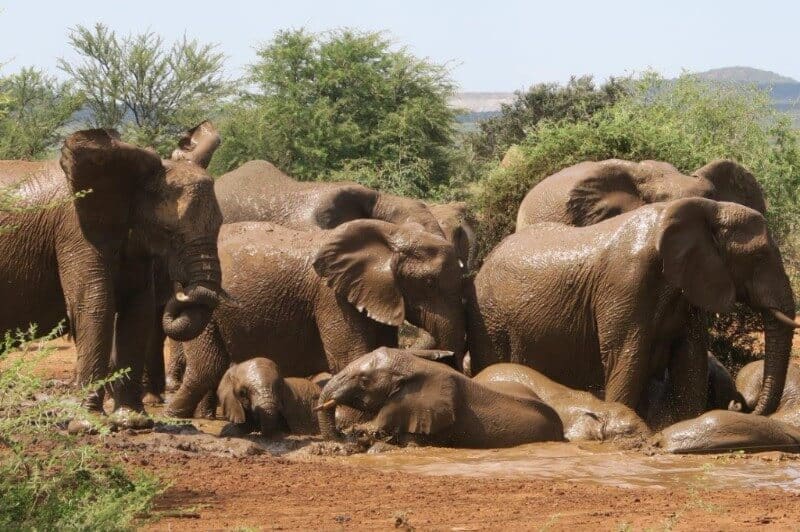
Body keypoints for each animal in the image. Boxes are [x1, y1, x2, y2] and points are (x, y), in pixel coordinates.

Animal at [0, 127, 223, 422]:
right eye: (168, 232)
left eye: (220, 224)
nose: (181, 291)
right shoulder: (75, 230)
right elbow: (96, 304)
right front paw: (88, 423)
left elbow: (138, 310)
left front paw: (133, 421)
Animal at [167, 219, 466, 418]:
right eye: (429, 284)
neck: (391, 233)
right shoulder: (331, 296)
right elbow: (350, 357)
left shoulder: (372, 293)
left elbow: (379, 351)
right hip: (206, 307)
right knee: (208, 365)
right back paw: (175, 415)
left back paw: (203, 417)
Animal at [468, 197, 798, 423]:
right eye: (758, 257)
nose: (741, 406)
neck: (704, 209)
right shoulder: (627, 282)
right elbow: (628, 360)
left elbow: (690, 362)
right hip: (488, 316)